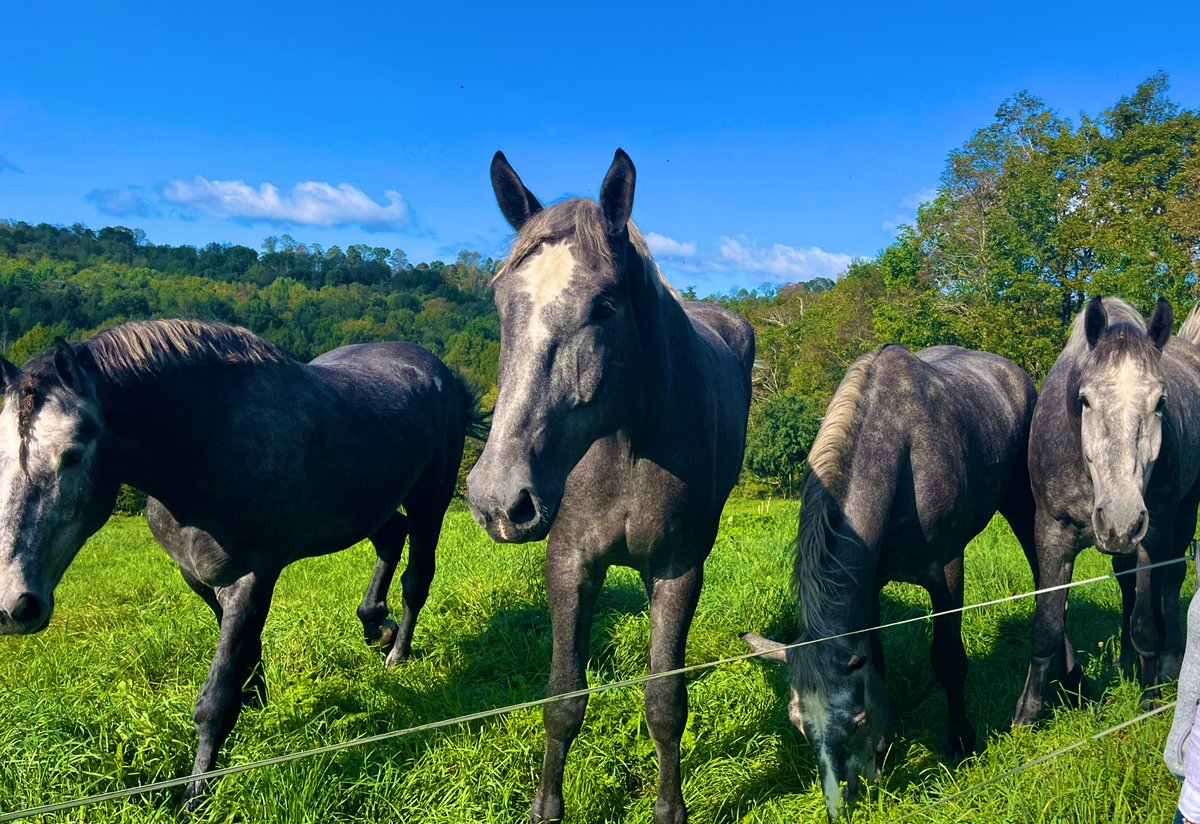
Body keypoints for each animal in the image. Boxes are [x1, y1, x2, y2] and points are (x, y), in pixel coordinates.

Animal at [0, 319, 486, 806]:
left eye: (73, 454)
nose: (14, 607)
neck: (209, 447)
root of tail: (438, 370)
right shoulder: (200, 578)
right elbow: (243, 652)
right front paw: (258, 698)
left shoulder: (251, 578)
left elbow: (215, 698)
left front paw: (196, 793)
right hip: (368, 507)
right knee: (391, 539)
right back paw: (375, 627)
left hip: (430, 501)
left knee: (416, 579)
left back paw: (397, 651)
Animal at [466, 149, 754, 824]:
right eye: (500, 303)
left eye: (604, 306)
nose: (498, 500)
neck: (624, 449)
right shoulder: (570, 564)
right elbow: (564, 698)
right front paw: (547, 806)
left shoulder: (677, 569)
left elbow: (665, 701)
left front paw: (670, 808)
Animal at [742, 344, 1039, 819]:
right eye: (797, 724)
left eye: (856, 719)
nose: (841, 806)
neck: (900, 455)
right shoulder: (869, 585)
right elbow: (877, 661)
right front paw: (885, 749)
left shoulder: (946, 570)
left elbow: (948, 659)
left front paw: (961, 740)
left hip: (1022, 501)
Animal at [1012, 297, 1200, 725]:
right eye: (1085, 400)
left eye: (1160, 403)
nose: (1120, 518)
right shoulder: (1050, 534)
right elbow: (1047, 626)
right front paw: (1027, 713)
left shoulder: (1151, 536)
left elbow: (1145, 624)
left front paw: (1149, 701)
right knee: (1127, 584)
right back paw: (1126, 662)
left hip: (1184, 513)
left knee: (1170, 581)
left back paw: (1168, 662)